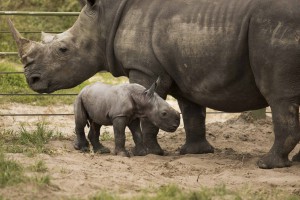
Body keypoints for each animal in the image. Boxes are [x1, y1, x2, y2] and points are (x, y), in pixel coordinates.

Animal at [8, 0, 300, 169]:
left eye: (63, 50)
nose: (32, 79)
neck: (105, 18)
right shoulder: (187, 71)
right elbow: (192, 112)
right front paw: (194, 153)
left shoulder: (145, 68)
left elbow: (148, 113)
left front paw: (149, 153)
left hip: (276, 25)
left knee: (279, 96)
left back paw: (267, 165)